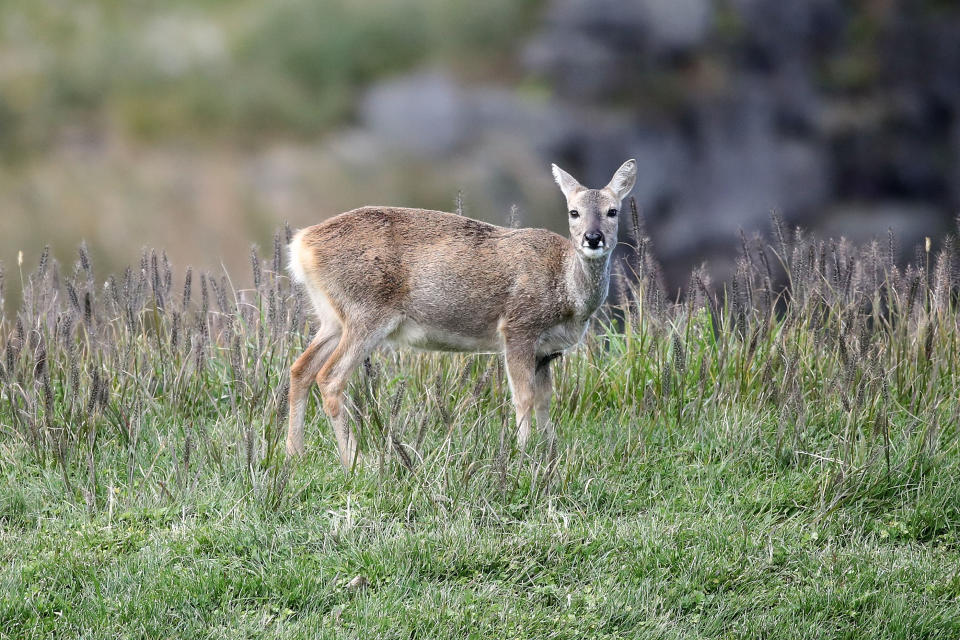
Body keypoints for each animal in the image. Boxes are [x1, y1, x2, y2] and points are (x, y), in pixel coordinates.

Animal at [284, 159, 636, 470]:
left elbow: (544, 401)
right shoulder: (518, 328)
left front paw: (550, 453)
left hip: (332, 318)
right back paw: (355, 462)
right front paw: (522, 457)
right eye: (573, 212)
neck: (567, 291)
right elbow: (522, 398)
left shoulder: (546, 352)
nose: (593, 237)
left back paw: (296, 454)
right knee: (329, 377)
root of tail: (301, 244)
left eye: (613, 211)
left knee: (300, 368)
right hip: (367, 313)